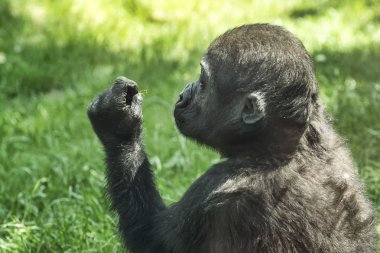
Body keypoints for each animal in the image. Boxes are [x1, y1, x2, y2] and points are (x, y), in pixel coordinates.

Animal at [88, 24, 378, 253]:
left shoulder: (213, 189)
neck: (282, 147)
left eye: (203, 83)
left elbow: (150, 238)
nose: (183, 94)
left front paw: (119, 127)